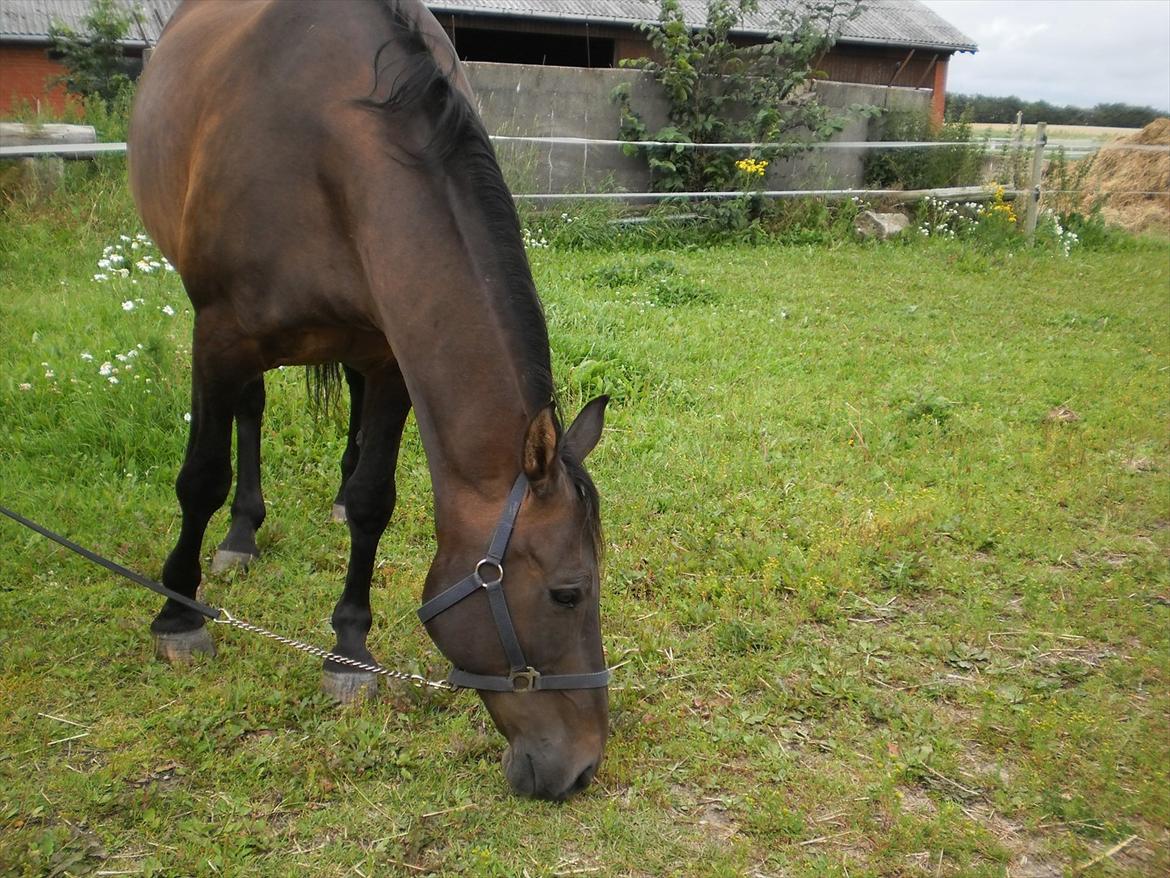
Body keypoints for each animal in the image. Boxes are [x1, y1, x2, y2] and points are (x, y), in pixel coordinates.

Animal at [129, 0, 613, 800]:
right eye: (568, 593)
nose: (583, 768)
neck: (323, 149)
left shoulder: (388, 354)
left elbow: (371, 501)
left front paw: (349, 649)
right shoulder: (218, 336)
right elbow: (200, 478)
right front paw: (179, 615)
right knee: (249, 415)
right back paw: (240, 536)